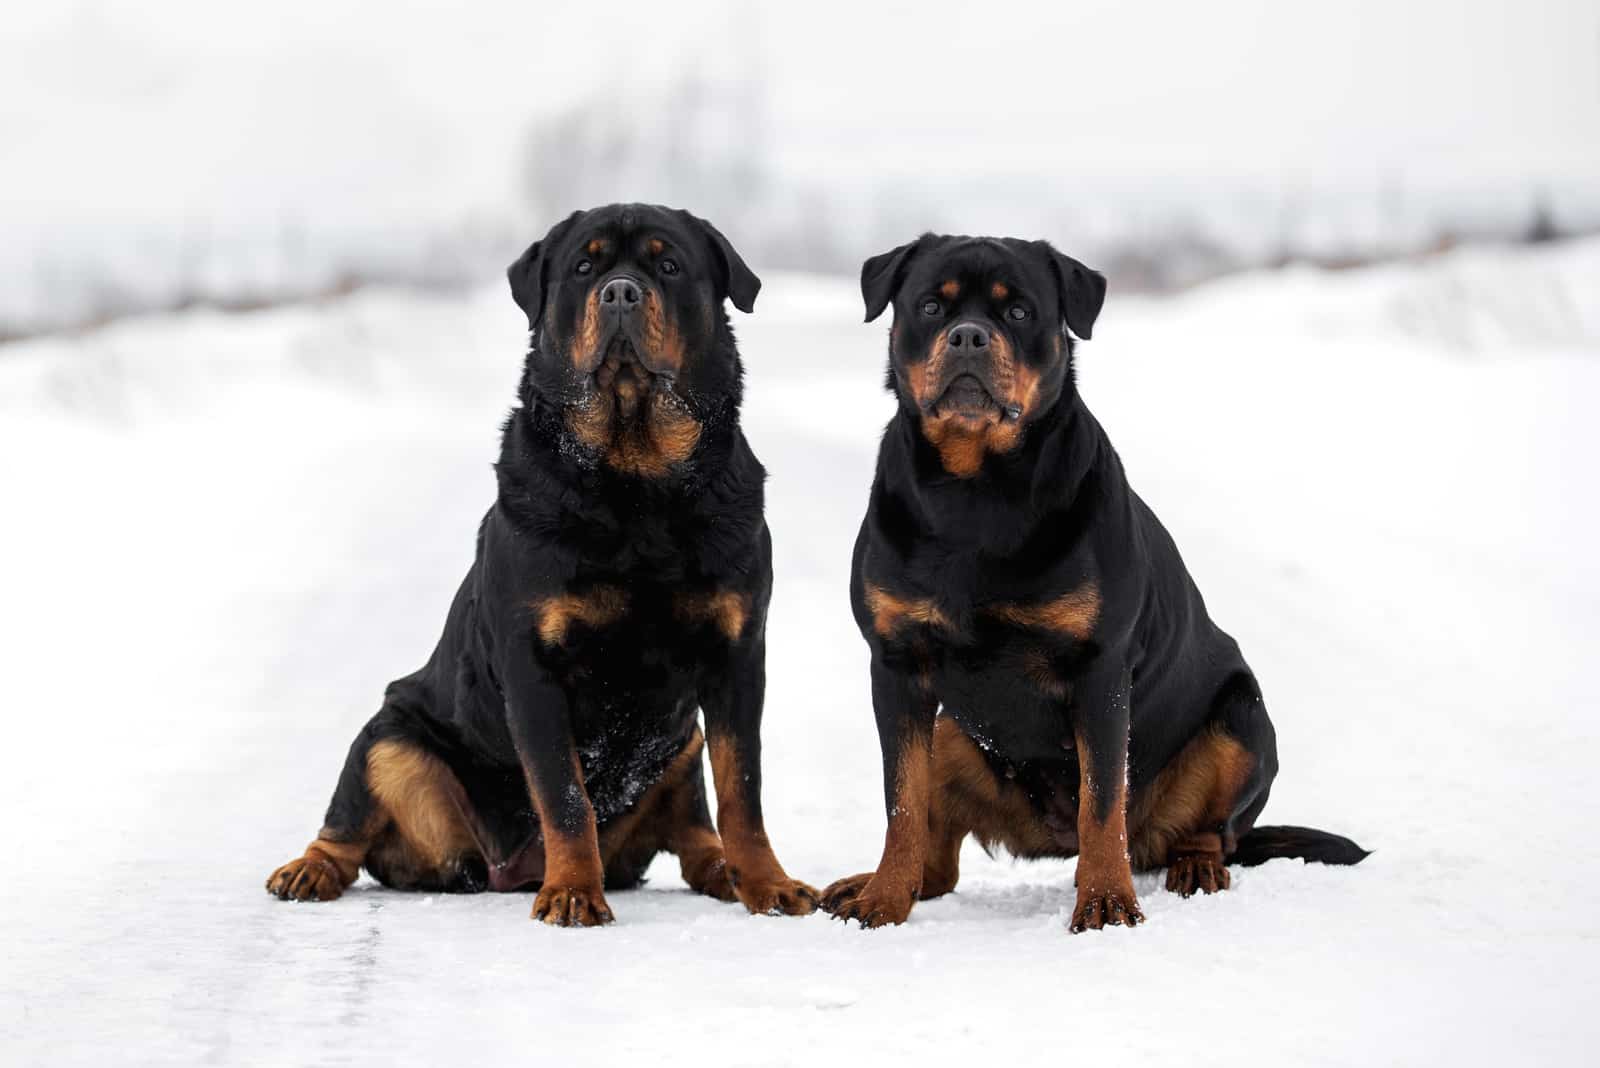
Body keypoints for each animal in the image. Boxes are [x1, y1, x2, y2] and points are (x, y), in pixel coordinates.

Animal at [270, 202, 819, 927]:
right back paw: (309, 869)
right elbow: (564, 794)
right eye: (584, 267)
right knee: (349, 819)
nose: (621, 293)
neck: (637, 481)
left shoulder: (737, 654)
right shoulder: (535, 664)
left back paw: (723, 872)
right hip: (390, 732)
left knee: (698, 832)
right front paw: (574, 892)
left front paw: (768, 883)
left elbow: (743, 788)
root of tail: (507, 869)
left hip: (683, 744)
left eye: (670, 265)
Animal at [825, 235, 1363, 933]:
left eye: (1020, 312)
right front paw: (884, 900)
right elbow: (903, 802)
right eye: (930, 306)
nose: (968, 336)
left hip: (1243, 721)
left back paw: (1194, 867)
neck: (975, 492)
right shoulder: (896, 665)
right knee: (940, 862)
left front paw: (1106, 901)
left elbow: (1102, 800)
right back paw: (872, 885)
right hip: (948, 731)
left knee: (1203, 831)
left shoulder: (1100, 668)